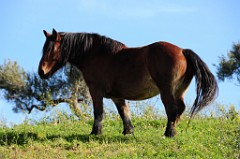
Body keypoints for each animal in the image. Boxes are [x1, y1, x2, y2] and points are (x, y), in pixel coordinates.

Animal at [38, 28, 218, 138]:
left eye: (51, 49)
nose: (42, 72)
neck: (96, 54)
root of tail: (182, 51)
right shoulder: (117, 96)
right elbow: (124, 112)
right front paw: (128, 131)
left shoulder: (96, 91)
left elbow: (98, 112)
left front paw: (95, 132)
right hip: (179, 91)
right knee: (179, 110)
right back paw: (173, 130)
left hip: (167, 91)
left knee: (172, 110)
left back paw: (169, 133)